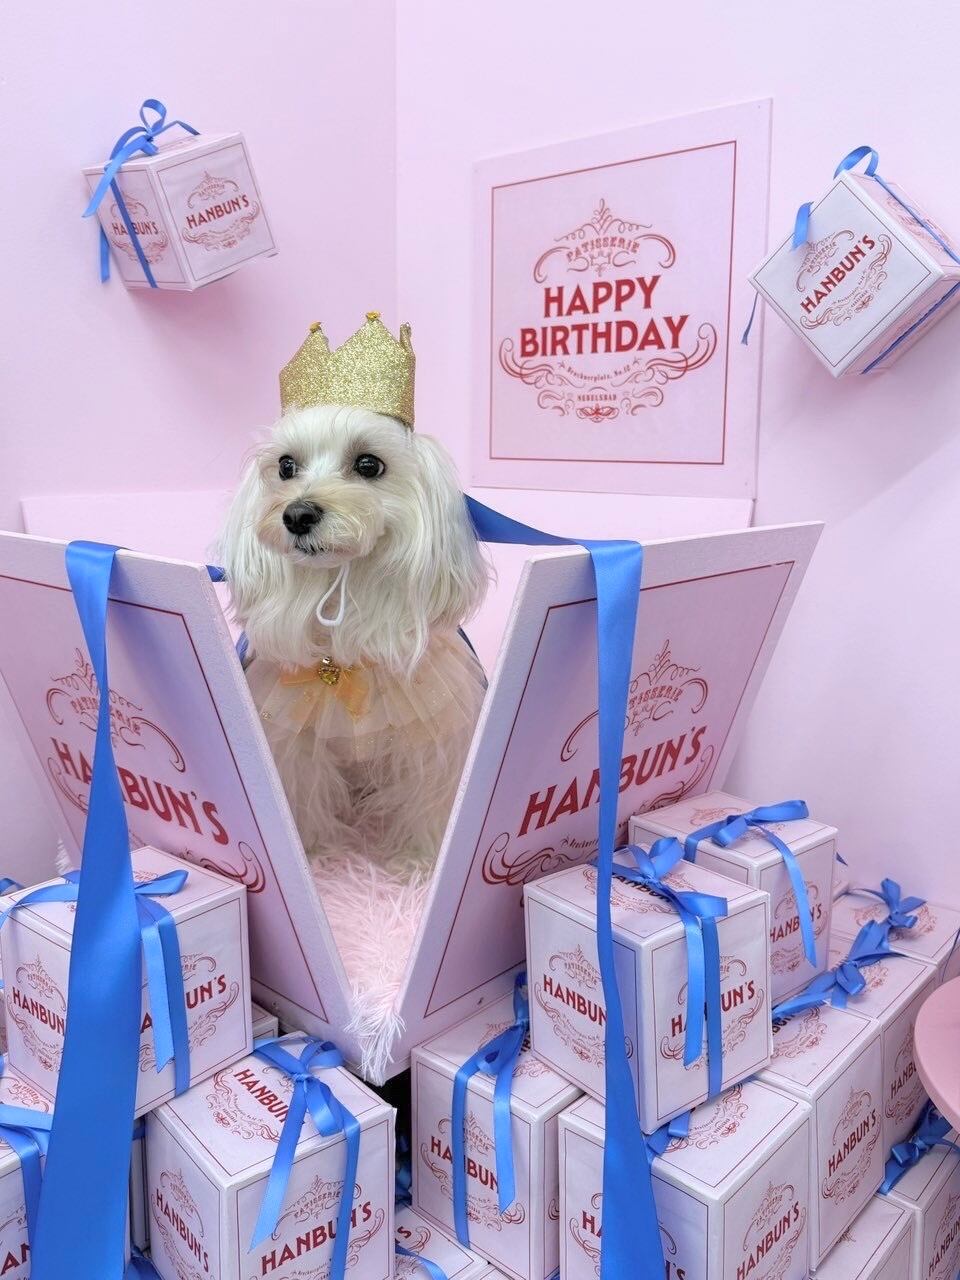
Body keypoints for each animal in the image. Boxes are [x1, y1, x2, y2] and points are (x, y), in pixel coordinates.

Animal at [219, 403, 489, 876]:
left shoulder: (429, 746)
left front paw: (418, 860)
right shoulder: (297, 748)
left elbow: (426, 800)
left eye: (368, 465)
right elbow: (306, 797)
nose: (297, 515)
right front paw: (314, 853)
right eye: (285, 466)